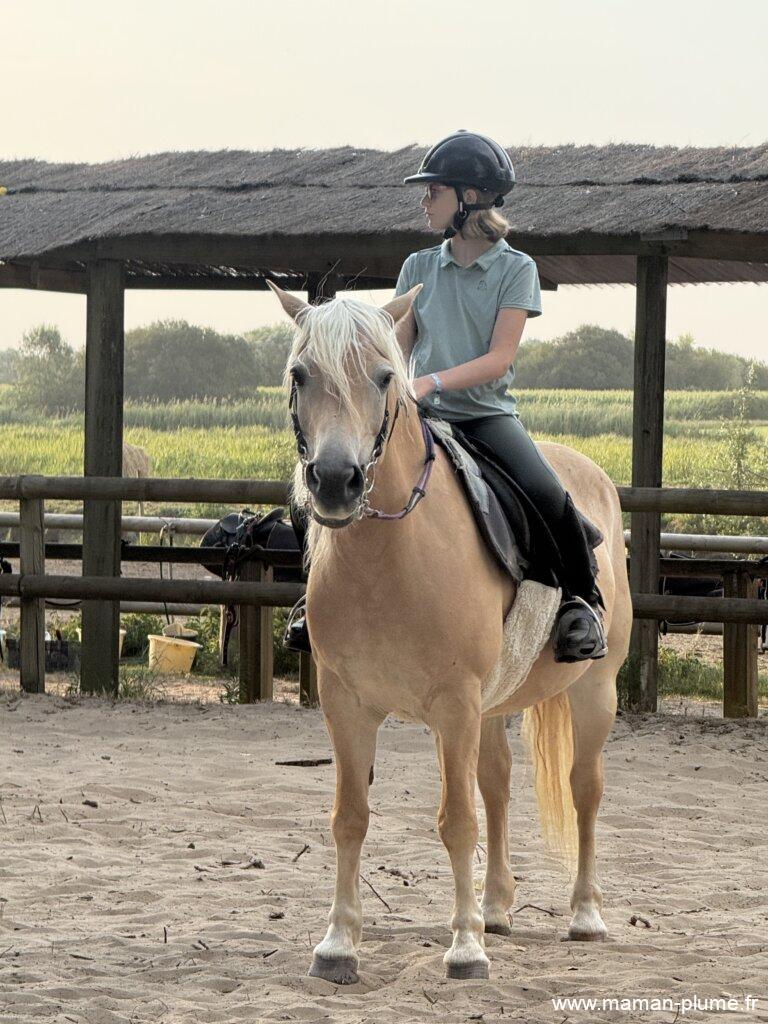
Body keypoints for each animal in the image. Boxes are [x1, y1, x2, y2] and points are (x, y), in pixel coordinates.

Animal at [266, 279, 633, 984]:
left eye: (385, 377)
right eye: (300, 375)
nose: (335, 481)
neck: (390, 556)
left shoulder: (455, 703)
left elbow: (457, 820)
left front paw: (465, 949)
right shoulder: (346, 702)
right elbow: (350, 817)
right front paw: (338, 943)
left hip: (593, 690)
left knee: (585, 790)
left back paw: (584, 915)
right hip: (492, 706)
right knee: (497, 784)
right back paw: (496, 909)